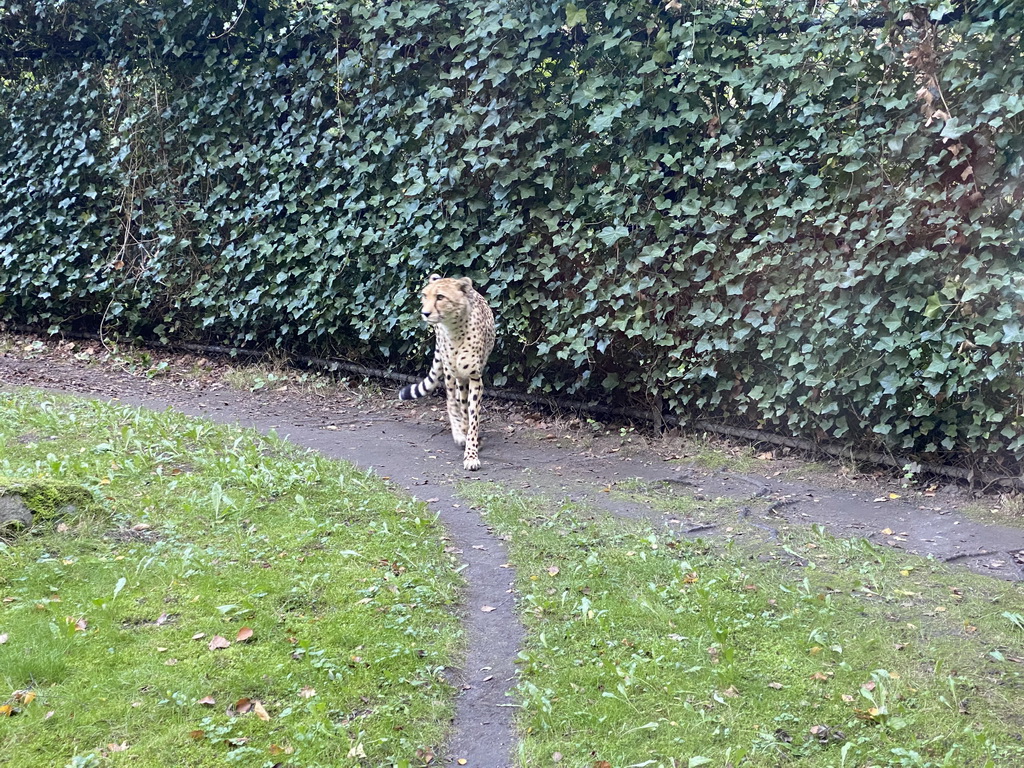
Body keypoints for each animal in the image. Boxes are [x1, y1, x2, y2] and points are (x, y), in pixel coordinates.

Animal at [399, 274, 495, 473]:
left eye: (440, 297)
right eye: (424, 296)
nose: (425, 313)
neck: (455, 330)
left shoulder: (474, 377)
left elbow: (473, 417)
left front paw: (471, 453)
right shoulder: (456, 374)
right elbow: (458, 407)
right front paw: (463, 436)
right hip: (451, 373)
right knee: (452, 400)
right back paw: (459, 431)